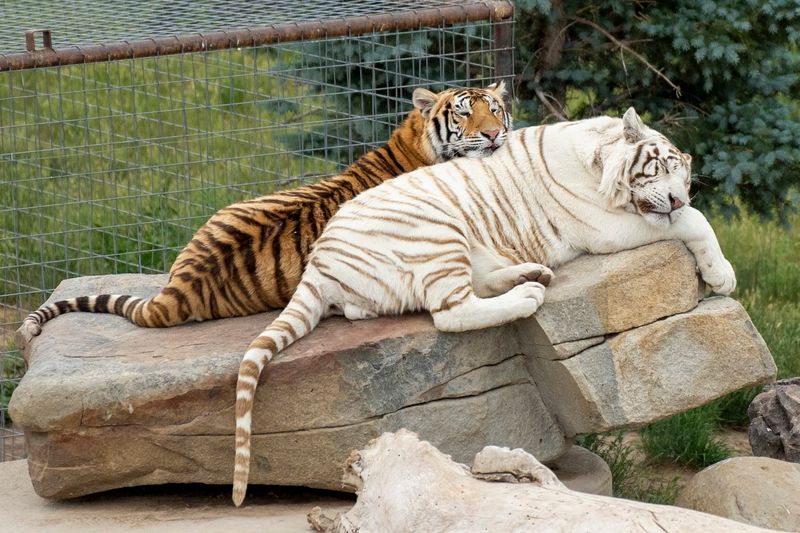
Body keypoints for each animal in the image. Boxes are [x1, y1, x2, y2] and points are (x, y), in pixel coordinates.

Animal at [231, 107, 737, 506]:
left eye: (683, 173)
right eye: (658, 169)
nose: (676, 195)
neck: (596, 159)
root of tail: (318, 258)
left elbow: (688, 218)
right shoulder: (604, 225)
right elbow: (695, 220)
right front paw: (722, 274)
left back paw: (530, 273)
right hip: (437, 232)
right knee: (449, 311)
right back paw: (529, 293)